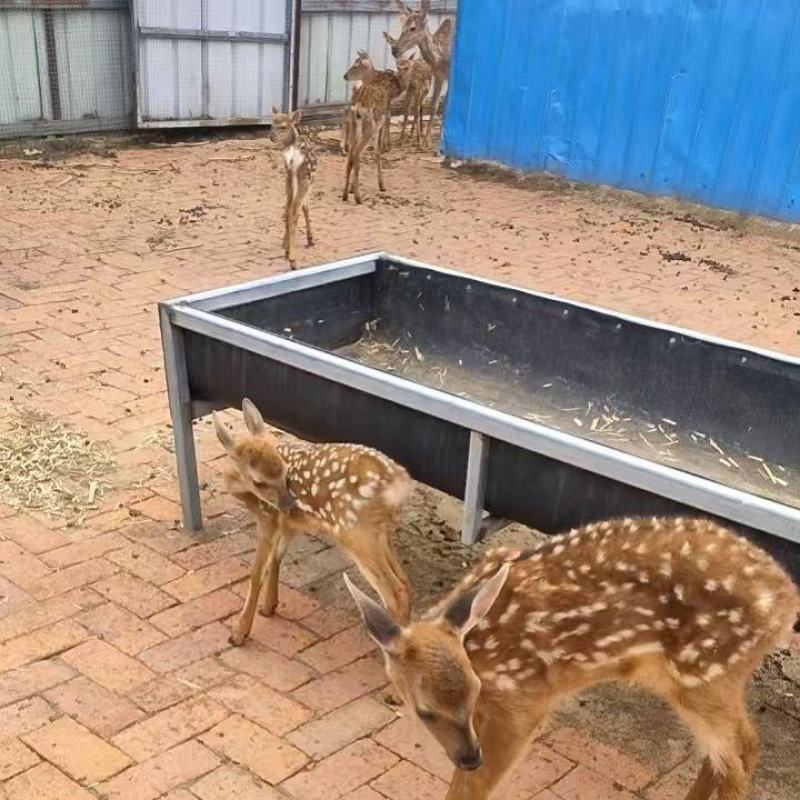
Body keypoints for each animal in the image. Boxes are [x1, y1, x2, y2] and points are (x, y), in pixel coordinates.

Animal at [213, 398, 412, 646]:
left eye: (285, 470)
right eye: (260, 482)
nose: (289, 504)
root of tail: (399, 483)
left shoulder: (268, 517)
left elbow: (257, 570)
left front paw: (239, 633)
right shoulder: (289, 524)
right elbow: (276, 559)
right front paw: (269, 607)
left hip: (355, 531)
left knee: (396, 591)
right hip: (379, 532)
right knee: (406, 583)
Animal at [271, 107, 316, 270]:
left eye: (283, 126)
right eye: (272, 124)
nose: (271, 137)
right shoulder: (310, 182)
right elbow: (306, 208)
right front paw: (310, 239)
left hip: (288, 177)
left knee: (288, 208)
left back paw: (286, 249)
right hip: (304, 177)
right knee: (294, 210)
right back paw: (293, 259)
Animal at [342, 51, 403, 203]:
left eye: (356, 65)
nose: (345, 76)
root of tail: (358, 105)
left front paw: (351, 188)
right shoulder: (381, 123)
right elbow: (377, 152)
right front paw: (382, 185)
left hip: (355, 126)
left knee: (351, 154)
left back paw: (345, 194)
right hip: (368, 126)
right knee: (356, 153)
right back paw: (358, 197)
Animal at [345, 515, 800, 800]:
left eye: (472, 691)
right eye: (424, 712)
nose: (470, 758)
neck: (481, 651)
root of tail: (786, 601)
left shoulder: (526, 700)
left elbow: (472, 788)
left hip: (707, 672)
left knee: (741, 753)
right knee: (725, 755)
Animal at [391, 1, 453, 145]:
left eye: (413, 28)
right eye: (402, 26)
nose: (394, 50)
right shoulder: (439, 76)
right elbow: (435, 106)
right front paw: (426, 140)